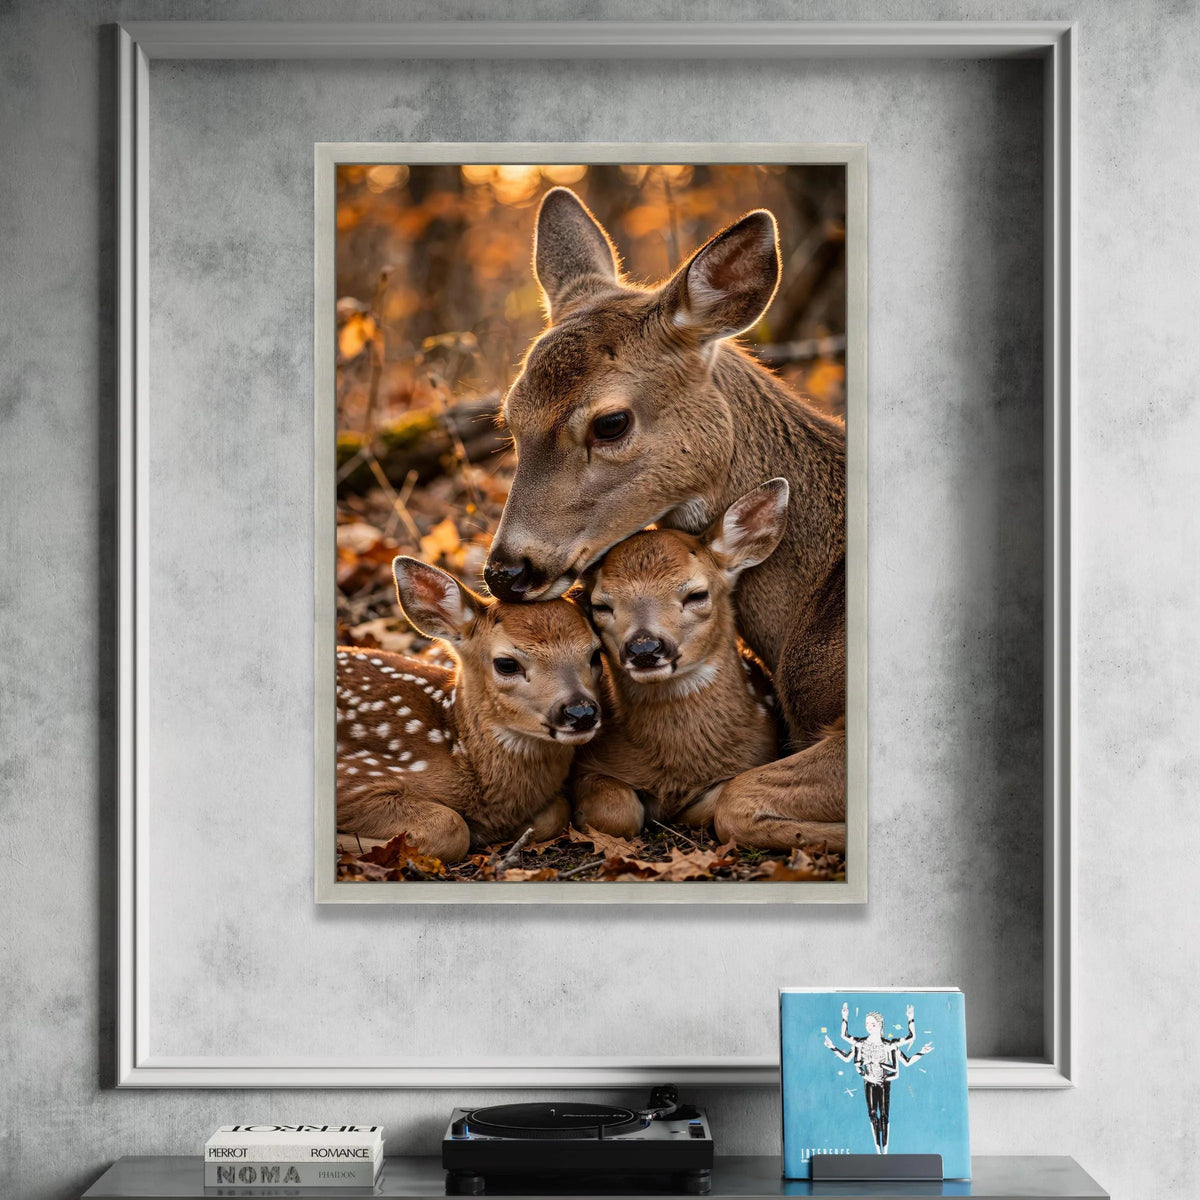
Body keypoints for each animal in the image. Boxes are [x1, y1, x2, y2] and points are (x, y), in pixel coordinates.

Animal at [336, 555, 603, 863]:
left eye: (596, 654)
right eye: (506, 664)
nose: (581, 712)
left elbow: (555, 813)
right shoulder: (354, 775)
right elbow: (452, 827)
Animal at [572, 479, 788, 842]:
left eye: (697, 595)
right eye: (600, 605)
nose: (644, 648)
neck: (677, 768)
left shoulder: (757, 755)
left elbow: (712, 805)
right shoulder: (588, 765)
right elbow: (617, 812)